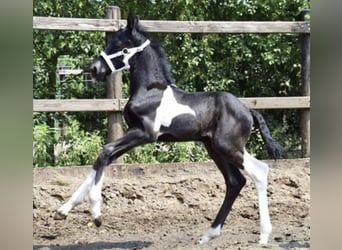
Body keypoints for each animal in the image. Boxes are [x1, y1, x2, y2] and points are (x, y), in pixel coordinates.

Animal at [54, 14, 282, 245]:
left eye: (119, 45)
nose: (94, 69)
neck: (149, 91)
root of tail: (247, 109)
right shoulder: (134, 133)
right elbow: (104, 157)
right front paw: (63, 210)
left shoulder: (145, 134)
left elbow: (105, 151)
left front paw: (96, 212)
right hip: (215, 148)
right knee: (235, 181)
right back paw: (209, 234)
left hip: (227, 146)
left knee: (259, 171)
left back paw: (263, 235)